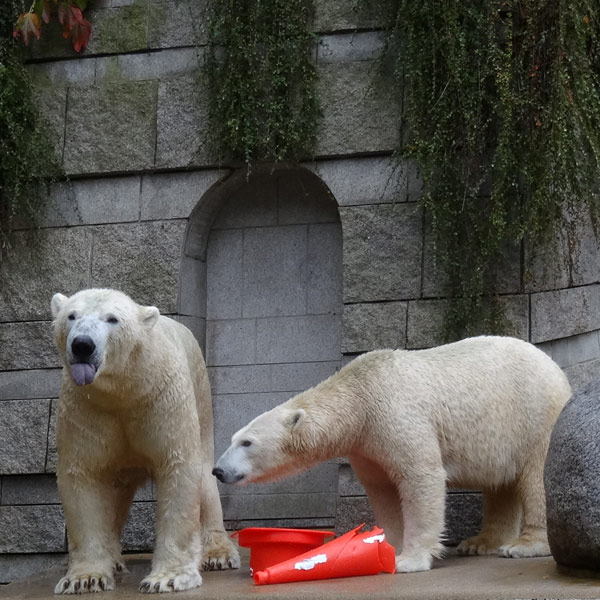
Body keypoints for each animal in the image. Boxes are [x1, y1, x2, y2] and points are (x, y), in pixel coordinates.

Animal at [51, 290, 239, 596]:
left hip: (201, 397)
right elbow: (85, 475)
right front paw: (84, 578)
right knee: (115, 495)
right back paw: (115, 561)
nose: (82, 345)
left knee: (205, 481)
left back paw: (218, 555)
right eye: (71, 315)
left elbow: (178, 468)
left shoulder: (161, 398)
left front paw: (168, 578)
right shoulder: (86, 408)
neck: (126, 388)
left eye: (112, 319)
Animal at [213, 336, 568, 576]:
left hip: (534, 414)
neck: (360, 395)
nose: (218, 470)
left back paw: (524, 546)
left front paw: (409, 559)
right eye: (233, 439)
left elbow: (420, 476)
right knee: (500, 483)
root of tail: (556, 368)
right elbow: (382, 491)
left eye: (247, 442)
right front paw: (388, 547)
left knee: (536, 476)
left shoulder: (396, 415)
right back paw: (480, 543)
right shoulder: (367, 443)